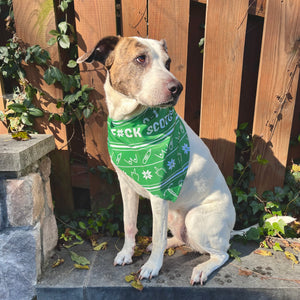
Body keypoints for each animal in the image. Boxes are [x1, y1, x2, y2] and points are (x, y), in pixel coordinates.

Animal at [78, 36, 237, 284]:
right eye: (140, 59)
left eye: (168, 62)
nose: (177, 88)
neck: (131, 124)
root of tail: (231, 229)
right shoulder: (126, 187)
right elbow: (129, 224)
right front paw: (127, 253)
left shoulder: (159, 196)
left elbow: (155, 232)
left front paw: (152, 267)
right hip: (174, 214)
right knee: (182, 239)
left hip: (196, 218)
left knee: (221, 254)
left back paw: (201, 269)